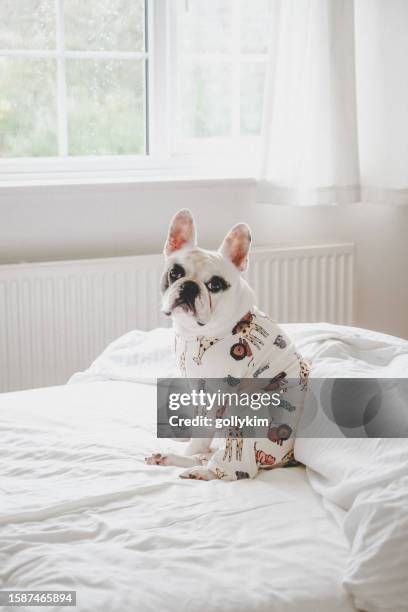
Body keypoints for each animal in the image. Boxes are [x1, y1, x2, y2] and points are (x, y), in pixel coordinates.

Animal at [145, 210, 308, 482]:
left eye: (215, 285)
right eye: (175, 273)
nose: (189, 286)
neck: (199, 332)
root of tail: (286, 459)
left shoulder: (215, 392)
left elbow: (201, 434)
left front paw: (192, 449)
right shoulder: (196, 388)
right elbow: (198, 428)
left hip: (243, 412)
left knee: (238, 470)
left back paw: (203, 471)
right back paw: (174, 458)